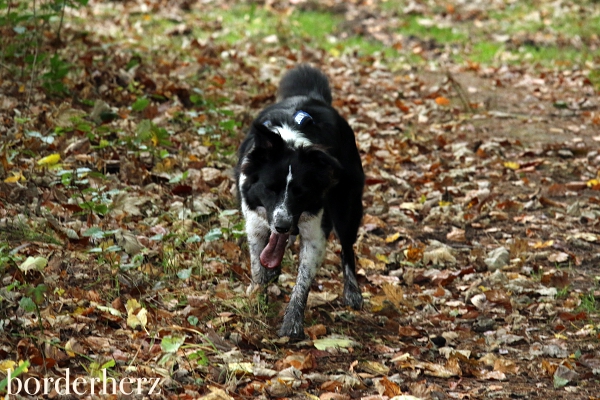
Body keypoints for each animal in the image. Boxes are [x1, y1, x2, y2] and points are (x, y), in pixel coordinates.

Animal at [236, 65, 366, 338]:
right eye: (270, 189)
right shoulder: (256, 222)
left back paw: (353, 292)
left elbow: (302, 282)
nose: (283, 225)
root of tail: (313, 97)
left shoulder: (315, 230)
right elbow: (258, 268)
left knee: (347, 247)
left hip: (347, 205)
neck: (289, 141)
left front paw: (292, 324)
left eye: (301, 192)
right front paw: (259, 300)